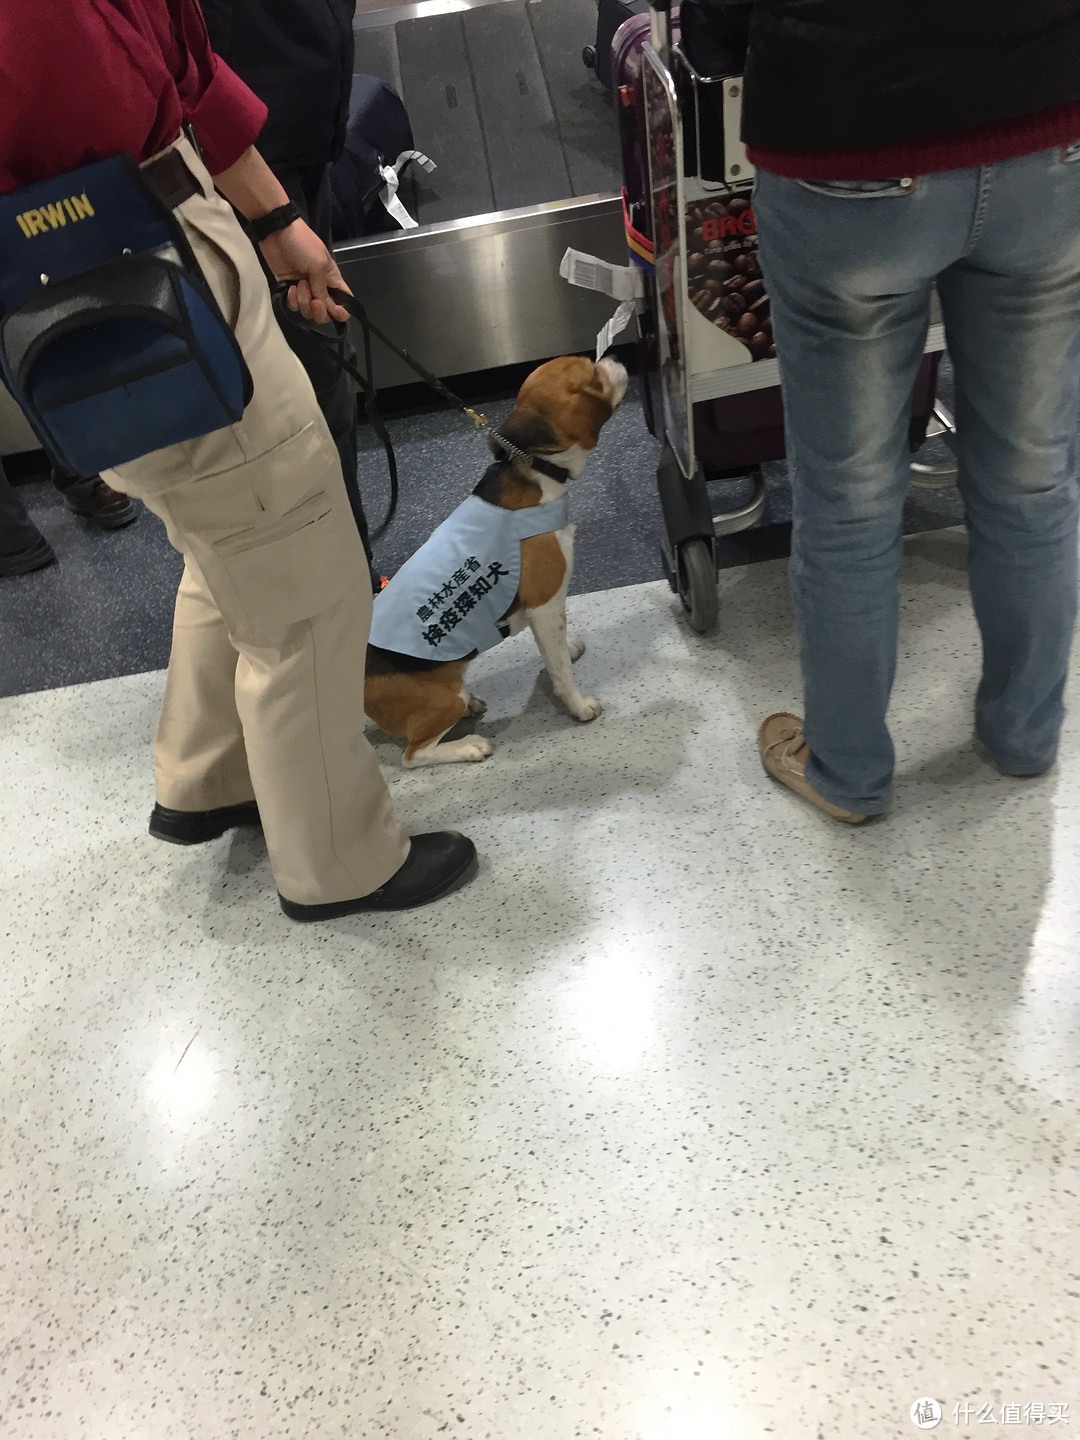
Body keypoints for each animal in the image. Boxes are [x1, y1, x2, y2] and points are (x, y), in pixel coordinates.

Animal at [368, 352, 630, 766]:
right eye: (591, 370)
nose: (616, 355)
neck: (536, 468)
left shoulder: (545, 612)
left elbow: (554, 650)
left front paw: (568, 648)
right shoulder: (545, 602)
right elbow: (559, 669)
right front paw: (578, 705)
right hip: (444, 703)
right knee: (414, 755)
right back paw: (469, 746)